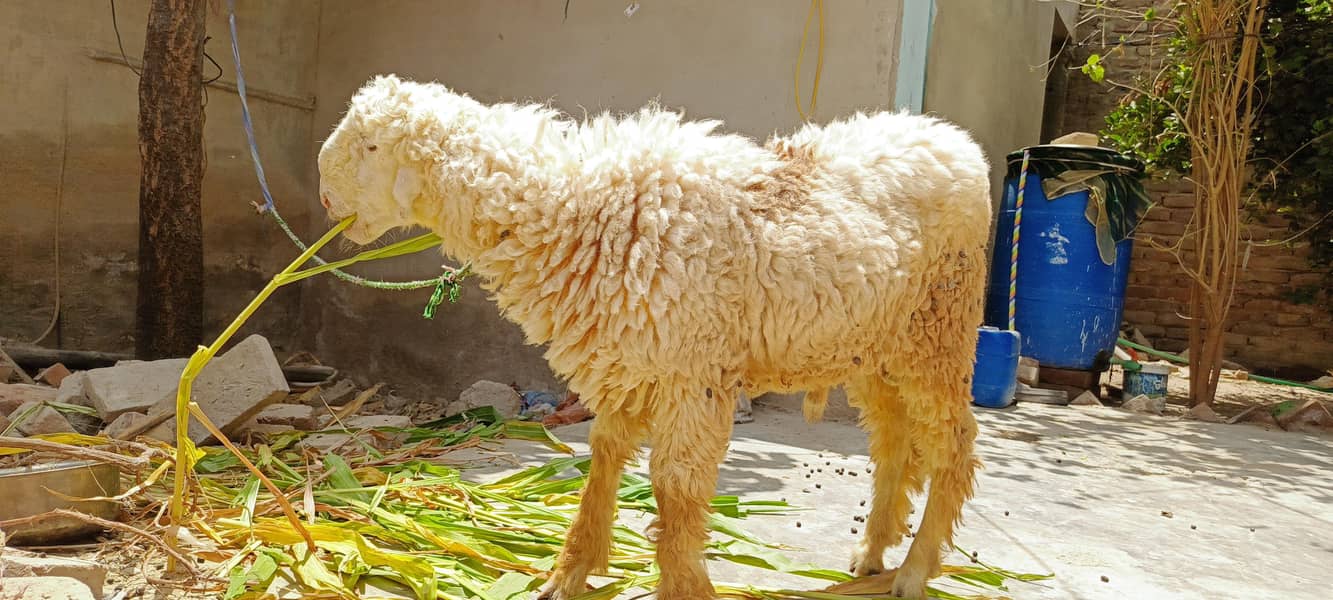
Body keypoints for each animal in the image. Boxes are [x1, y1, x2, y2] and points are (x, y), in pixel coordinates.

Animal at [317, 74, 991, 600]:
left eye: (371, 146)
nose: (324, 198)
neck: (572, 206)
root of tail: (955, 142)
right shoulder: (629, 361)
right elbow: (604, 459)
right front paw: (570, 571)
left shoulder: (692, 374)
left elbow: (675, 486)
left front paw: (683, 583)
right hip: (876, 346)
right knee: (895, 442)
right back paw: (873, 552)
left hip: (940, 331)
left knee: (953, 446)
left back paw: (916, 570)